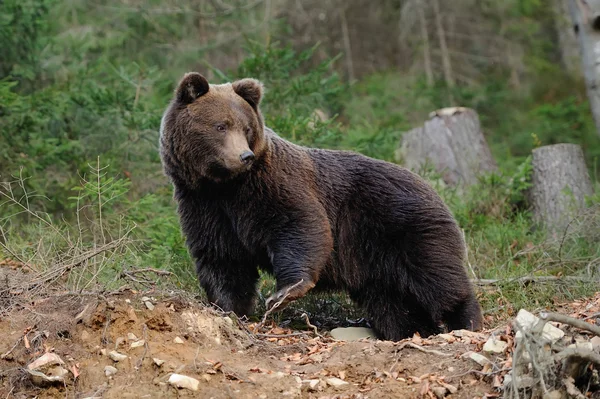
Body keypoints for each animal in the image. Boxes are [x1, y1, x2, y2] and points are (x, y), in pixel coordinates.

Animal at [159, 72, 482, 340]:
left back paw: (464, 321)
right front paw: (229, 307)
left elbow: (300, 225)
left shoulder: (270, 187)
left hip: (404, 227)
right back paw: (410, 331)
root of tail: (434, 188)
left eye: (246, 127)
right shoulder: (204, 205)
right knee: (393, 303)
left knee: (437, 278)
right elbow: (222, 258)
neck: (225, 185)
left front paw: (283, 293)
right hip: (375, 259)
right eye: (220, 126)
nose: (244, 156)